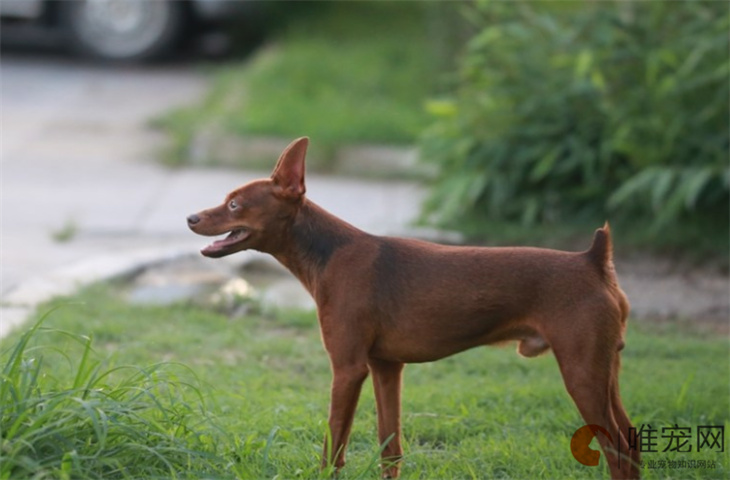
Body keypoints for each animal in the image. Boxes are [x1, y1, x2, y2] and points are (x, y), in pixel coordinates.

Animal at [186, 137, 636, 478]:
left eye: (234, 204)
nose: (190, 217)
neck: (327, 252)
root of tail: (593, 261)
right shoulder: (386, 368)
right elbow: (391, 449)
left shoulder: (348, 370)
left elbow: (333, 449)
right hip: (605, 369)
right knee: (631, 443)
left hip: (580, 372)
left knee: (616, 450)